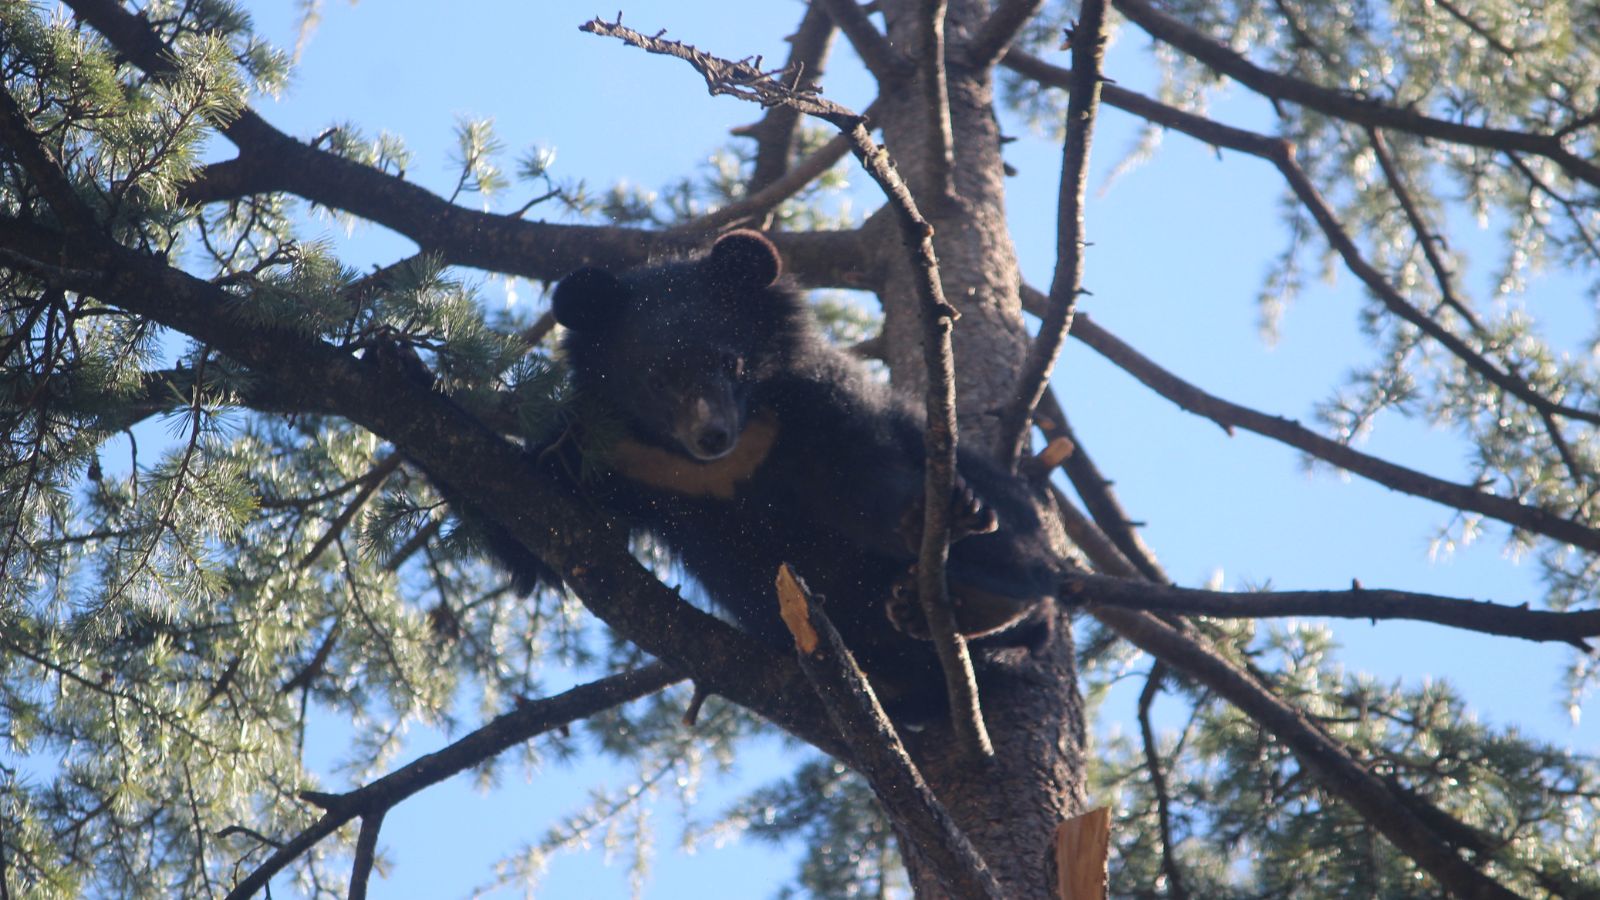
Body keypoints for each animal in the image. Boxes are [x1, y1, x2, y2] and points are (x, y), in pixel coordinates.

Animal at [523, 230, 1062, 711]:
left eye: (731, 362)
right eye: (657, 379)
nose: (711, 435)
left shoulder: (812, 405)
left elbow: (860, 477)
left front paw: (931, 514)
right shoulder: (618, 452)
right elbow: (542, 530)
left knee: (1019, 566)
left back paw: (971, 597)